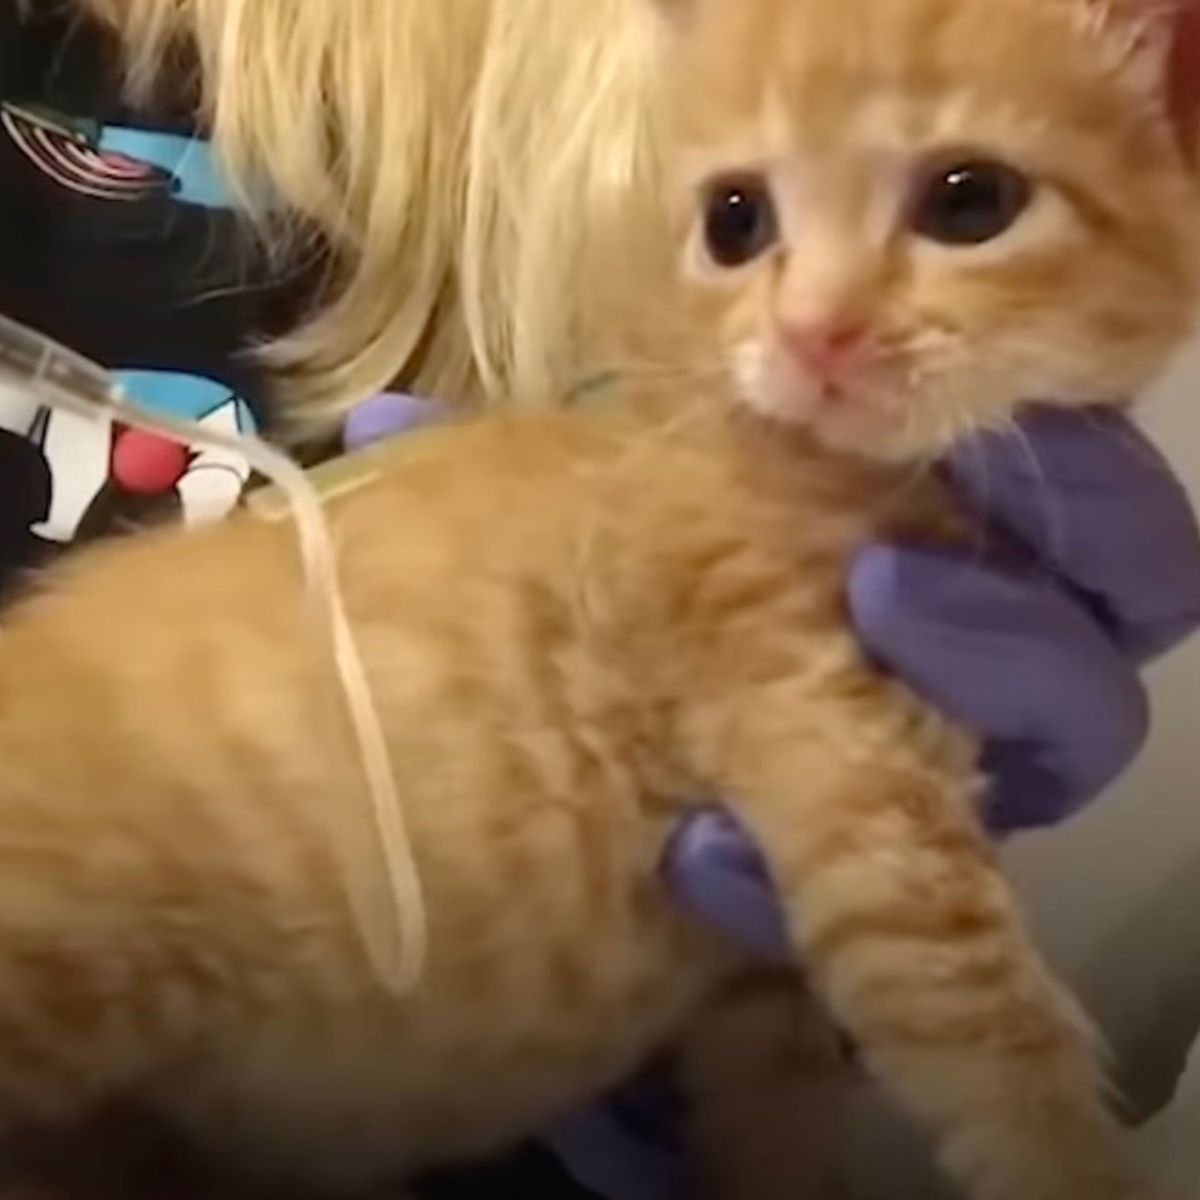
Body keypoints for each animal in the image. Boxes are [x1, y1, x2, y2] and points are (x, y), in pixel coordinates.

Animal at [2, 2, 1200, 1200]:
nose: (815, 332)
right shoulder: (838, 768)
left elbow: (778, 1116)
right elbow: (992, 1040)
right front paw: (1078, 1165)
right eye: (735, 220)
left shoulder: (751, 973)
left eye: (970, 202)